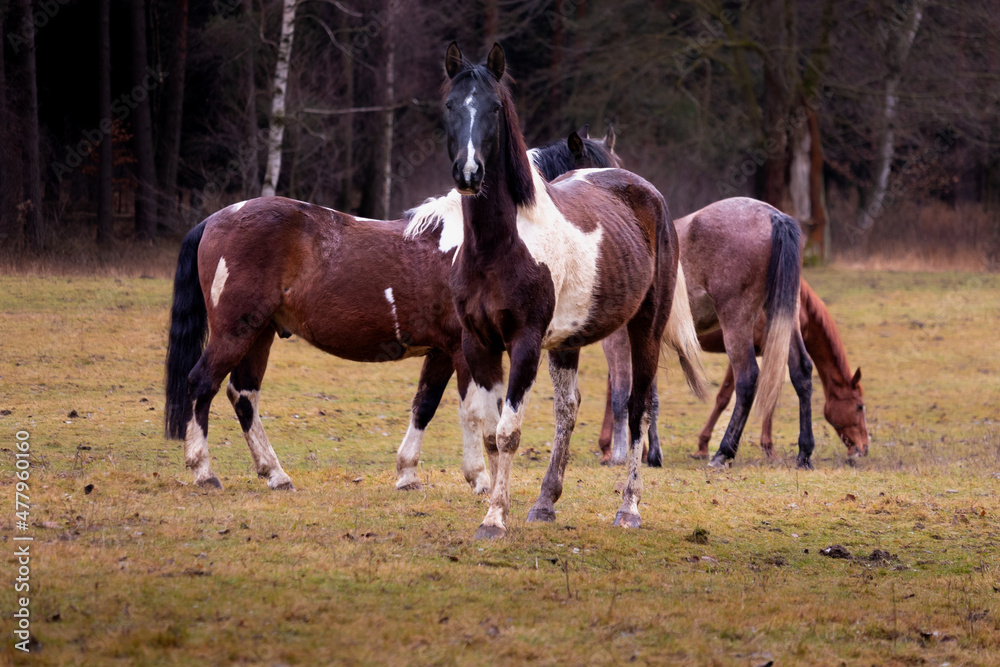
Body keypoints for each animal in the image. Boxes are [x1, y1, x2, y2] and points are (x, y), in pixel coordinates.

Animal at [162, 130, 616, 496]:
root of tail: (215, 219)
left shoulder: (441, 352)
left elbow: (425, 405)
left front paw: (408, 474)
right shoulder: (464, 350)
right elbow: (472, 411)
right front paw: (480, 480)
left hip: (261, 333)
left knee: (243, 395)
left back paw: (275, 474)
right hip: (234, 332)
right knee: (201, 384)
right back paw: (204, 472)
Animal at [442, 44, 700, 540]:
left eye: (495, 107)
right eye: (449, 105)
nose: (468, 172)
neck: (499, 245)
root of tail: (648, 194)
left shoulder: (525, 344)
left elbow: (508, 433)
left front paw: (494, 518)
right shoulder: (477, 342)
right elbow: (490, 432)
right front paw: (503, 506)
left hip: (645, 330)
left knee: (638, 408)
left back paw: (629, 508)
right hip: (568, 342)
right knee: (568, 410)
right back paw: (545, 502)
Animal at [592, 198, 812, 470]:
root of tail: (773, 215)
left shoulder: (617, 340)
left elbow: (621, 395)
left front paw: (620, 456)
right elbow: (650, 398)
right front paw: (651, 455)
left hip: (736, 321)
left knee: (748, 378)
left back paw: (723, 453)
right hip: (783, 318)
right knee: (801, 372)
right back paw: (804, 453)